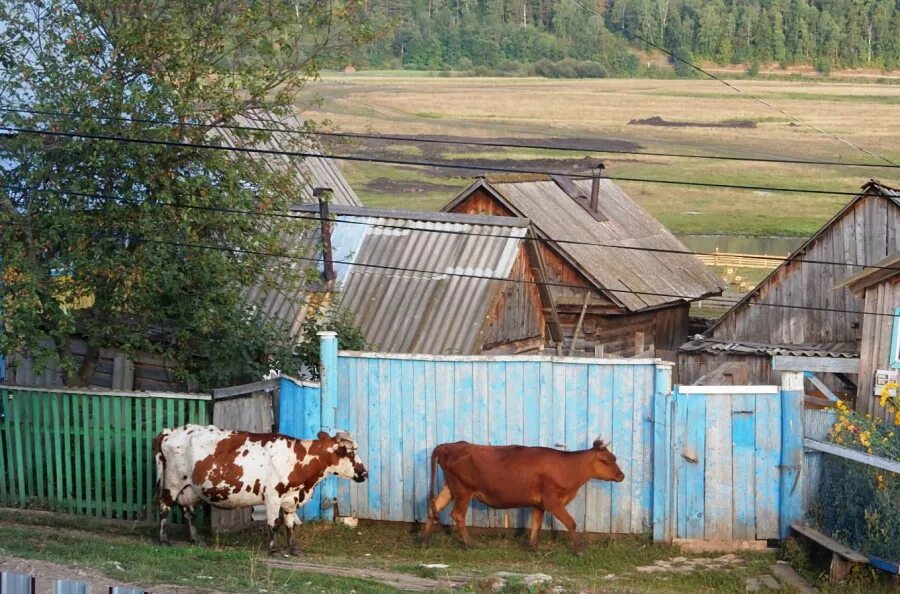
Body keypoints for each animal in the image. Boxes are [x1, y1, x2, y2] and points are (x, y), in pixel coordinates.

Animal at [154, 424, 366, 552]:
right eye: (349, 453)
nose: (365, 473)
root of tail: (170, 431)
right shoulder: (273, 496)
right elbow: (274, 522)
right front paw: (273, 549)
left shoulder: (291, 499)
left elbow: (289, 524)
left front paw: (293, 548)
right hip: (172, 483)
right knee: (164, 508)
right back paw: (163, 539)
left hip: (189, 489)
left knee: (188, 512)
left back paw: (194, 539)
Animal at [420, 438, 620, 552]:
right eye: (607, 460)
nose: (622, 475)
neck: (567, 467)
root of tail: (448, 446)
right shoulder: (552, 501)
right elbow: (571, 523)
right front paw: (578, 550)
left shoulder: (539, 503)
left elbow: (536, 524)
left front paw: (534, 548)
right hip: (463, 490)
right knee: (457, 515)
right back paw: (470, 544)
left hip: (450, 487)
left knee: (434, 506)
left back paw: (425, 541)